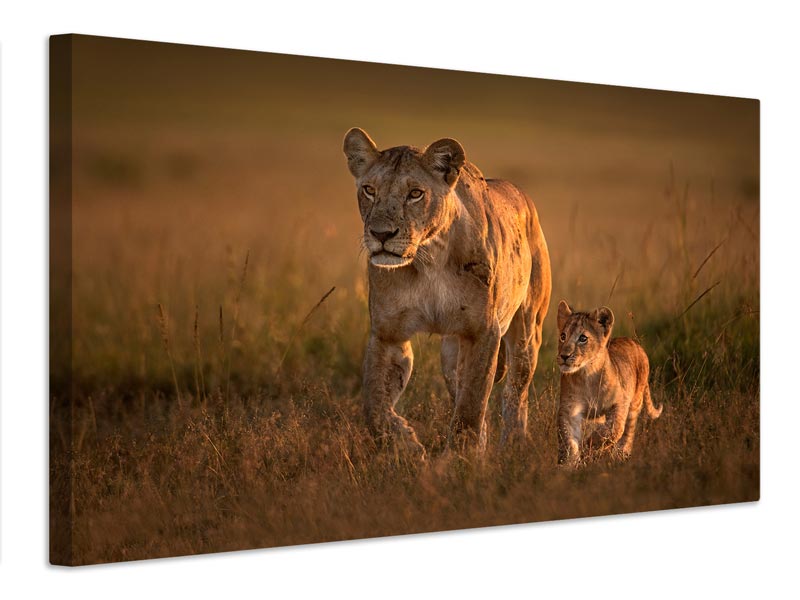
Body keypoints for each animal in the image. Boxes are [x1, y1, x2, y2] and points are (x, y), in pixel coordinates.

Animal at [343, 127, 551, 458]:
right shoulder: (388, 334)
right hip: (451, 353)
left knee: (515, 393)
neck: (428, 259)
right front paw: (406, 446)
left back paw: (514, 445)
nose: (380, 234)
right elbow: (375, 407)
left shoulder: (483, 332)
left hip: (527, 331)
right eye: (369, 190)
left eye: (415, 193)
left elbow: (471, 405)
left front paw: (461, 459)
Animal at [556, 300, 662, 465]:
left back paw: (620, 455)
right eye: (563, 336)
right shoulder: (569, 409)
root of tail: (634, 343)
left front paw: (590, 444)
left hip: (635, 402)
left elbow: (615, 429)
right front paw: (569, 464)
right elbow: (569, 439)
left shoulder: (620, 402)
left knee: (628, 432)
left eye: (583, 338)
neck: (587, 375)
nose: (564, 356)